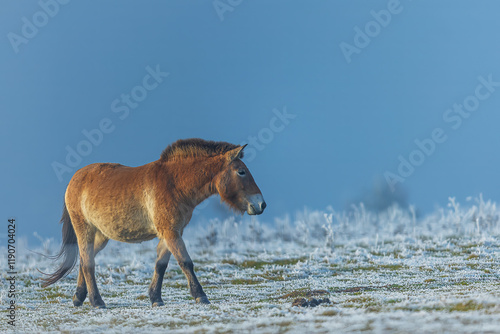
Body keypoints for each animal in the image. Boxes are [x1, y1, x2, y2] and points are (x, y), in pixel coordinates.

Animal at [42, 138, 266, 308]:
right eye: (241, 172)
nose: (261, 204)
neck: (174, 183)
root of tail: (75, 179)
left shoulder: (172, 232)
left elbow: (161, 265)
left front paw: (155, 298)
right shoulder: (170, 231)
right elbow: (186, 262)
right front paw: (200, 295)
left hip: (101, 235)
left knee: (83, 259)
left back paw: (78, 298)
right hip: (84, 229)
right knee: (88, 263)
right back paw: (97, 302)